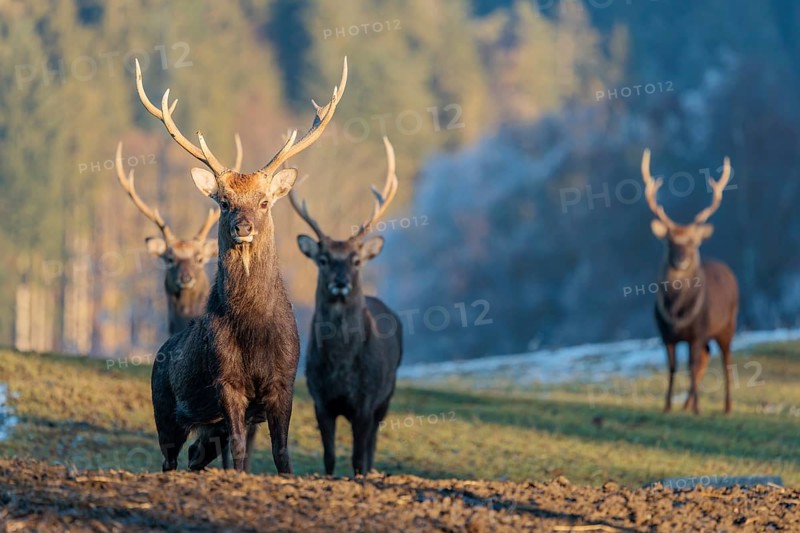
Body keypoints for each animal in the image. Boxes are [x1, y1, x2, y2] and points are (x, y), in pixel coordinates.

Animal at [135, 56, 347, 472]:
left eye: (264, 201)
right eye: (224, 201)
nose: (243, 226)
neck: (254, 330)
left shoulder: (284, 381)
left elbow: (281, 452)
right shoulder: (227, 383)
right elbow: (239, 451)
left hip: (206, 426)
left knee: (195, 456)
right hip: (165, 410)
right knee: (171, 459)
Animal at [290, 136, 403, 476]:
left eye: (355, 260)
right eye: (323, 259)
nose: (340, 280)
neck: (340, 366)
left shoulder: (365, 401)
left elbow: (357, 456)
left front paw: (360, 475)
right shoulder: (321, 399)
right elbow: (329, 456)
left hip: (387, 393)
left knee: (372, 444)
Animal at [641, 149, 739, 415]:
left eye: (694, 242)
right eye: (669, 241)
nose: (681, 259)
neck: (677, 311)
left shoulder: (698, 332)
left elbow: (691, 365)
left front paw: (698, 408)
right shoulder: (665, 334)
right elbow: (673, 367)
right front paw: (667, 406)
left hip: (728, 324)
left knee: (725, 360)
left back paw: (727, 406)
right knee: (706, 356)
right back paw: (686, 404)